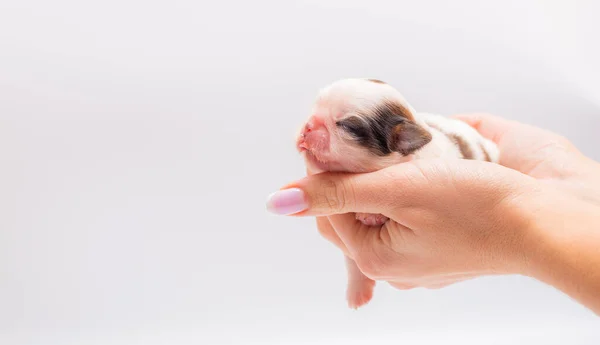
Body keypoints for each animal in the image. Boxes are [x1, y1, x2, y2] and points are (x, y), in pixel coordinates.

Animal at [298, 78, 500, 310]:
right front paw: (357, 292)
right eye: (316, 106)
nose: (309, 125)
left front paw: (372, 215)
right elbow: (351, 261)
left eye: (347, 126)